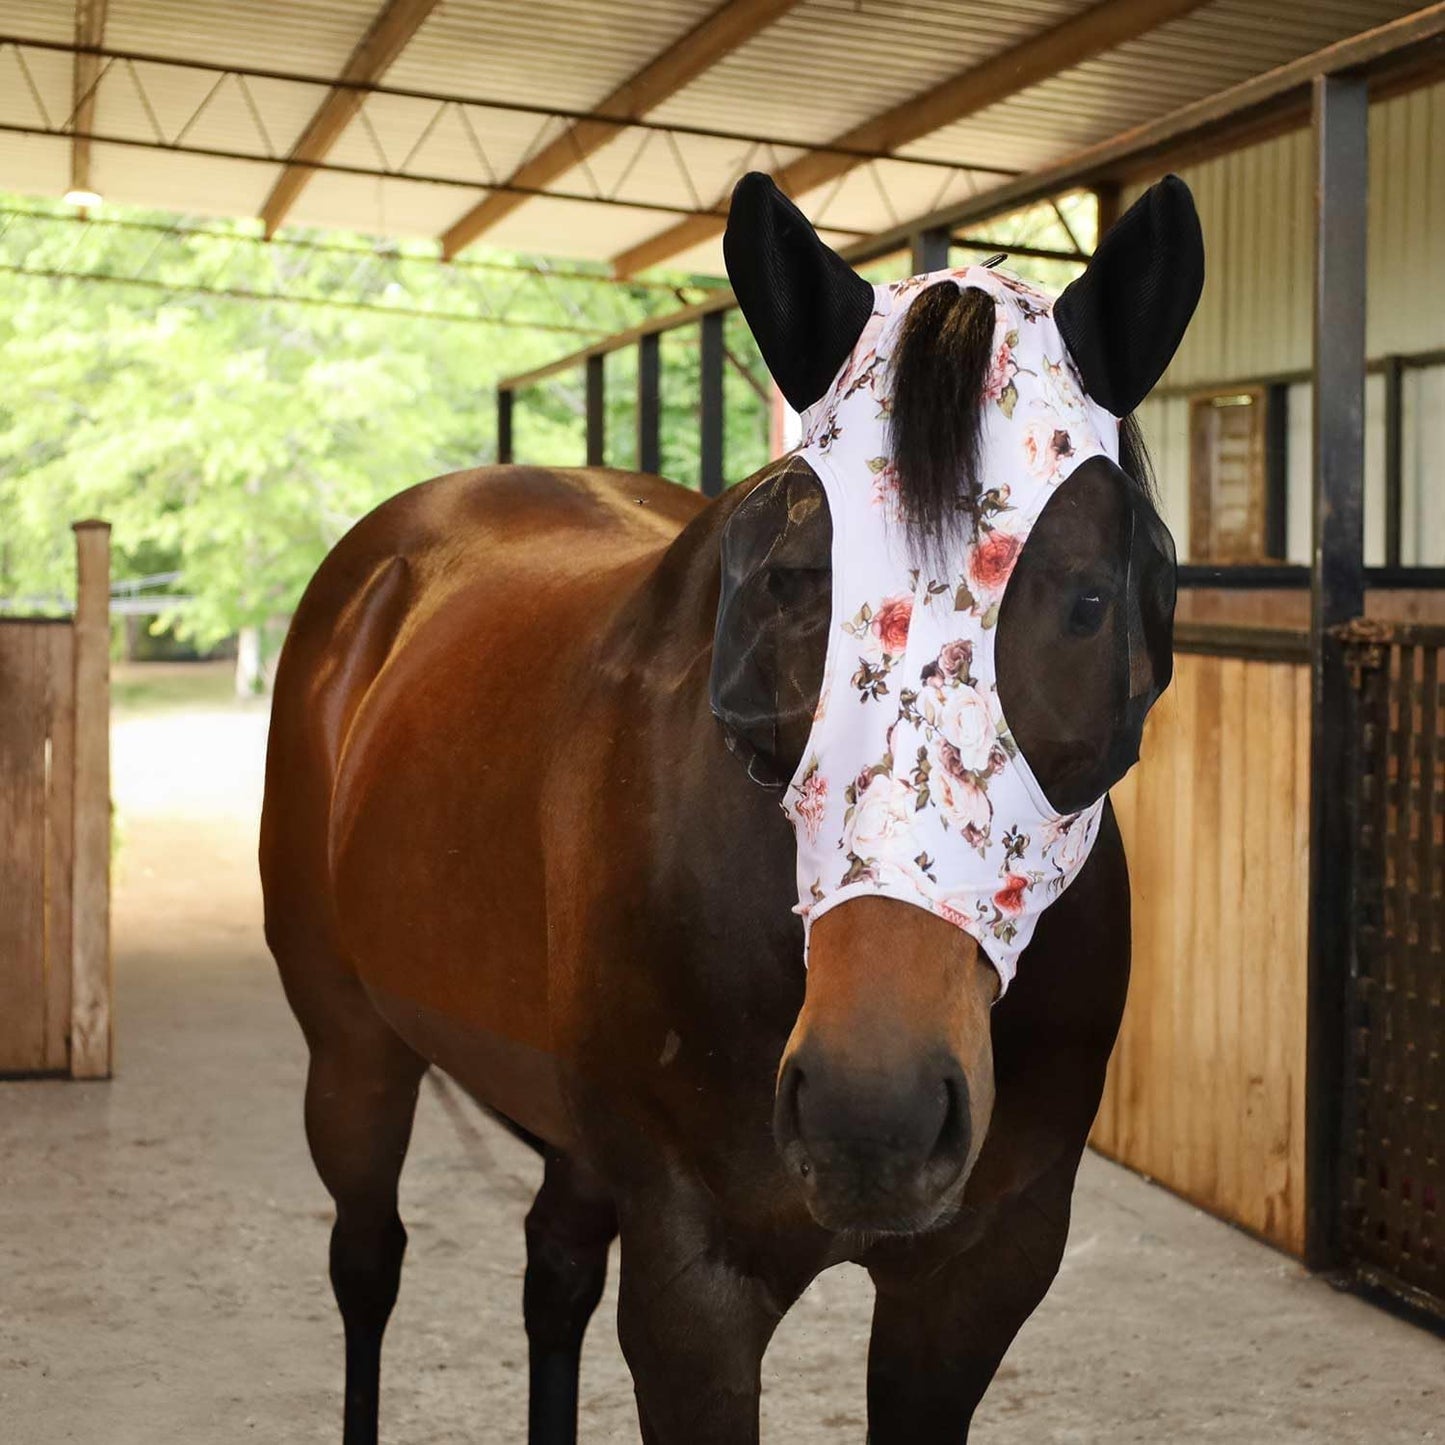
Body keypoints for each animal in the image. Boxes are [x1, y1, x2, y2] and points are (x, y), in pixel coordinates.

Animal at [260, 171, 1203, 1445]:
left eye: (1089, 600)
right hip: (352, 1047)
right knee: (367, 1262)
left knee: (550, 1271)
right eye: (788, 583)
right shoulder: (691, 1285)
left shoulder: (976, 1277)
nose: (871, 1109)